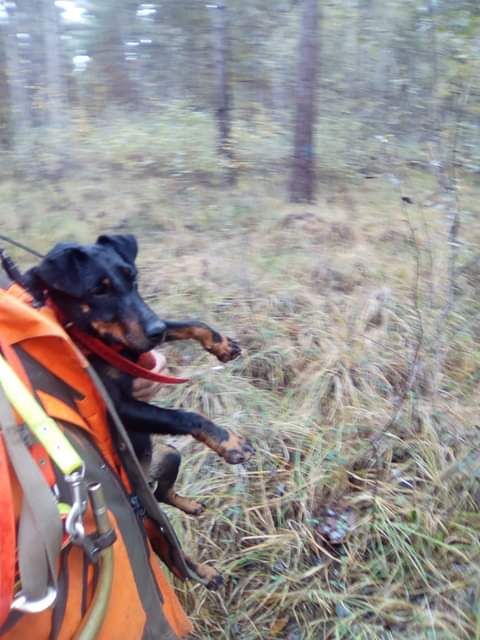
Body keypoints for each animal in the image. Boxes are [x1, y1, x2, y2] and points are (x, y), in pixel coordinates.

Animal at [25, 233, 253, 588]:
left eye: (133, 277)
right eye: (99, 290)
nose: (156, 330)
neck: (101, 342)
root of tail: (143, 480)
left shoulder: (142, 341)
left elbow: (190, 323)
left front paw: (221, 344)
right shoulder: (121, 407)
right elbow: (186, 415)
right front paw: (228, 441)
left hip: (169, 454)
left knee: (163, 494)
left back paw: (189, 506)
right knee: (174, 554)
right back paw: (204, 572)